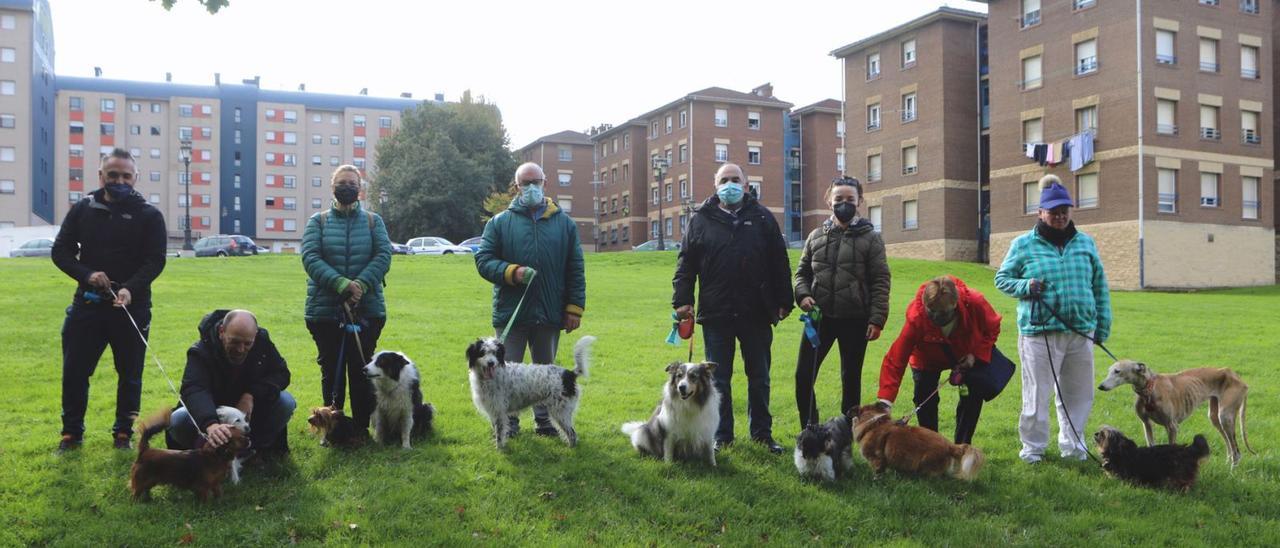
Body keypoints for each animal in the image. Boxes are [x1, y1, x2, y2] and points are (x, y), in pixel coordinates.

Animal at [465, 332, 593, 450]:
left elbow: (500, 434)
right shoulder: (493, 411)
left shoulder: (499, 411)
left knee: (572, 433)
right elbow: (497, 431)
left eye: (496, 353)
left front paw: (500, 450)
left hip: (560, 412)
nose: (491, 363)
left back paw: (571, 449)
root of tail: (569, 374)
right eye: (482, 352)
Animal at [855, 399, 983, 481]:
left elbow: (877, 471)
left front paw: (876, 480)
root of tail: (950, 445)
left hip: (926, 463)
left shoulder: (876, 459)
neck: (873, 423)